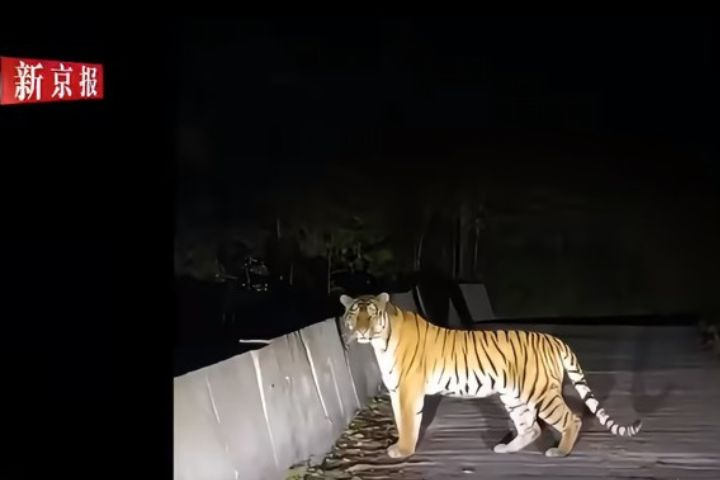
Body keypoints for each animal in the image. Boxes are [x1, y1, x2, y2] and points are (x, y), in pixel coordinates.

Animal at [339, 292, 642, 459]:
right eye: (354, 313)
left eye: (372, 314)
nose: (362, 330)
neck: (380, 342)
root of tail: (555, 339)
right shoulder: (395, 390)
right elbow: (401, 422)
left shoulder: (407, 392)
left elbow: (409, 423)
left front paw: (402, 451)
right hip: (515, 396)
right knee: (531, 427)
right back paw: (506, 449)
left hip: (541, 393)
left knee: (572, 419)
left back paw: (560, 451)